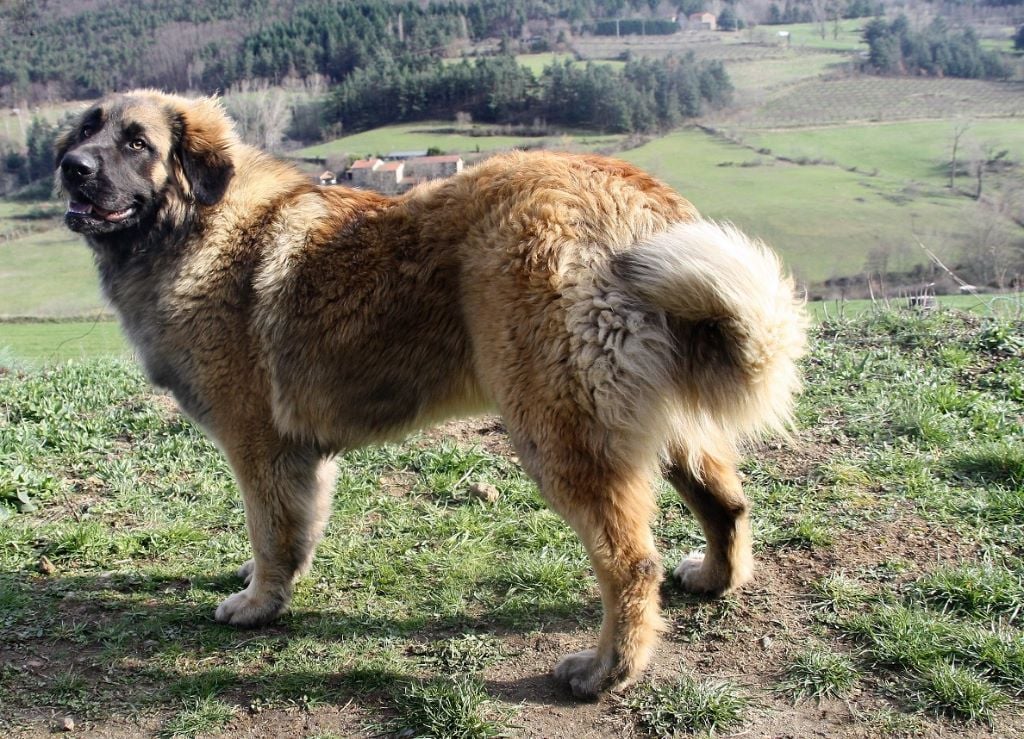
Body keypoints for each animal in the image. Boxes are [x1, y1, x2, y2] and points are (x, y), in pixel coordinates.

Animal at [57, 90, 807, 698]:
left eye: (137, 143)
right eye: (87, 129)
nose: (71, 167)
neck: (198, 229)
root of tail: (639, 201)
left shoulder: (258, 442)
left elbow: (270, 530)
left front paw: (258, 602)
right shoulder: (299, 455)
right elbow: (291, 528)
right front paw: (267, 581)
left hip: (557, 430)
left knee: (630, 564)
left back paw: (604, 672)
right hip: (653, 417)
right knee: (726, 502)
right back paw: (714, 579)